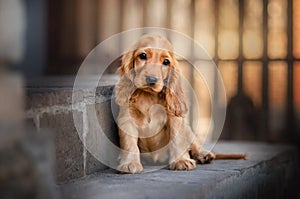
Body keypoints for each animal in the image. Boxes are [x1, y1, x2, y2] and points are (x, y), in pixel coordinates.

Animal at [115, 34, 244, 174]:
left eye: (166, 62)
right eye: (143, 55)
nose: (151, 80)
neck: (148, 97)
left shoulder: (174, 119)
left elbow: (178, 140)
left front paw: (181, 161)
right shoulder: (126, 119)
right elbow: (129, 143)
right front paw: (130, 163)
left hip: (187, 129)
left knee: (194, 145)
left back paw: (204, 155)